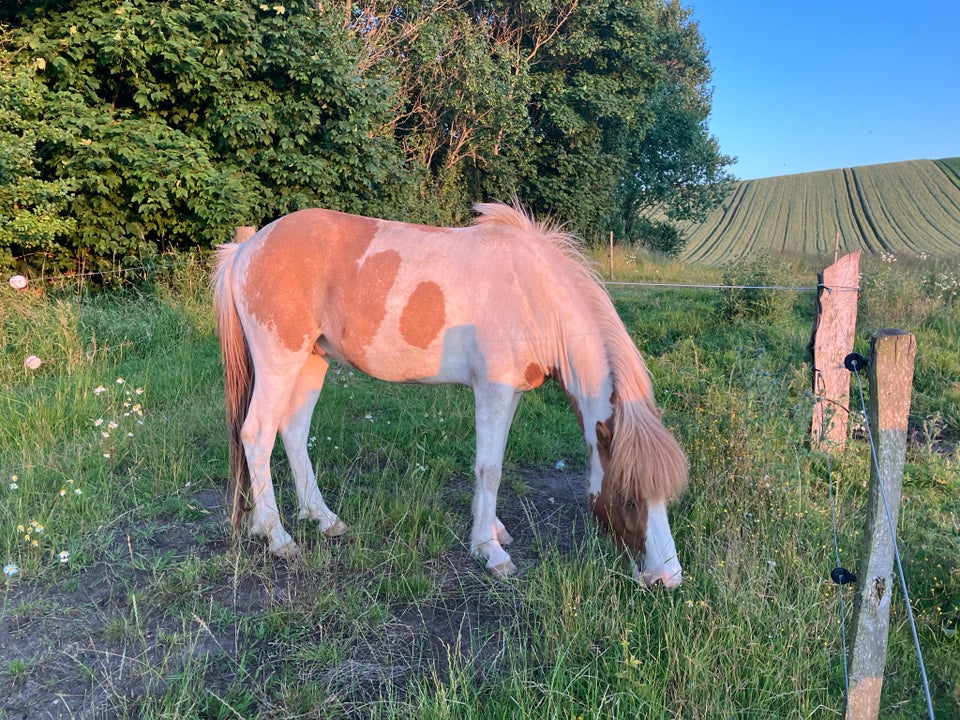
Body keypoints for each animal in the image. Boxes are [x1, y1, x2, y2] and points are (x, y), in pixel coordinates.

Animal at [213, 200, 688, 588]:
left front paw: (491, 531)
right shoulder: (492, 390)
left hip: (314, 362)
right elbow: (489, 468)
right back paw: (276, 536)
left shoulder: (510, 393)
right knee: (257, 435)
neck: (533, 293)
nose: (667, 578)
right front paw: (491, 553)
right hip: (280, 363)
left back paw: (323, 518)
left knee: (293, 432)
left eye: (666, 498)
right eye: (629, 498)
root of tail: (246, 248)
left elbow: (493, 464)